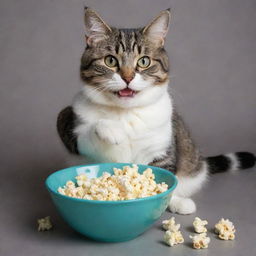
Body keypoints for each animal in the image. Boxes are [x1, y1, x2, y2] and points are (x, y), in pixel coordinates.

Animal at [57, 7, 255, 214]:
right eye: (110, 61)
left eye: (143, 61)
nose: (128, 77)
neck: (126, 113)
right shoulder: (67, 121)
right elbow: (88, 130)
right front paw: (112, 130)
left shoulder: (162, 150)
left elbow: (166, 178)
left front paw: (173, 201)